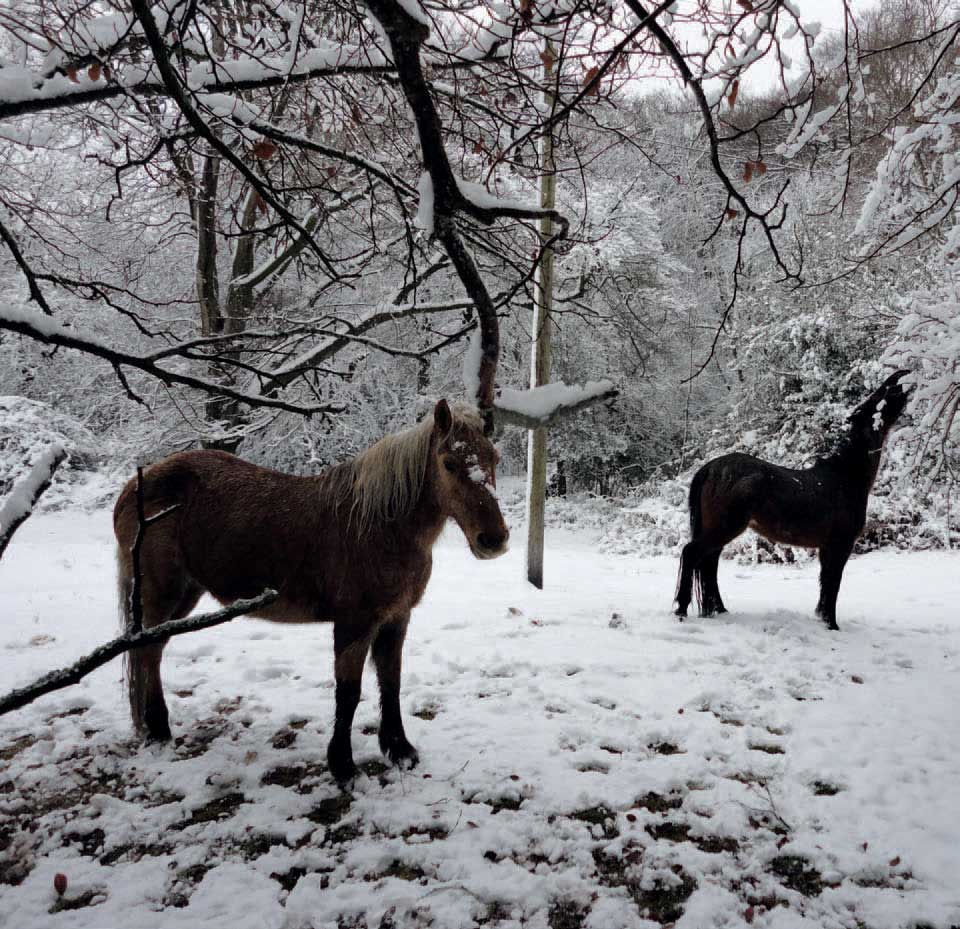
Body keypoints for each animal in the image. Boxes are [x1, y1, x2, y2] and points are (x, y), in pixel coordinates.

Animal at [114, 400, 510, 784]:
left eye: (493, 458)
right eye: (449, 463)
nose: (493, 540)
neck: (379, 524)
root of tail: (135, 487)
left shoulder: (396, 618)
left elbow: (391, 681)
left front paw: (399, 750)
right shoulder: (353, 624)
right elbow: (348, 693)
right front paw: (343, 765)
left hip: (185, 595)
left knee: (153, 651)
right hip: (162, 592)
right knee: (148, 652)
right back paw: (159, 729)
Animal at [672, 370, 912, 632]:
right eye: (881, 398)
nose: (902, 376)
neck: (844, 476)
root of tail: (710, 468)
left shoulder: (826, 548)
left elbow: (826, 584)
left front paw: (823, 619)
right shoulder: (840, 545)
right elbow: (833, 584)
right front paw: (831, 624)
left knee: (709, 565)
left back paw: (719, 610)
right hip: (724, 527)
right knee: (692, 554)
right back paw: (681, 610)